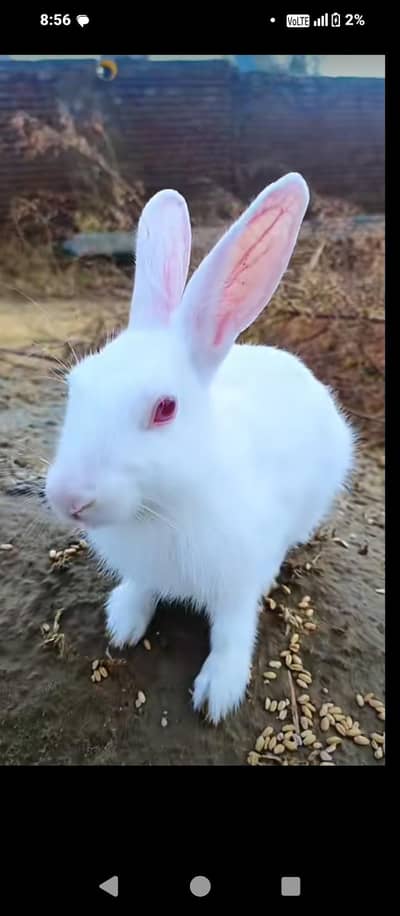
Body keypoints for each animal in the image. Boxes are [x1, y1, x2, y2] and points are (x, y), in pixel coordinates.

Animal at [45, 172, 354, 723]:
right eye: (77, 385)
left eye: (165, 408)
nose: (69, 498)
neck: (162, 506)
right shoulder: (146, 570)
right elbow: (142, 590)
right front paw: (122, 623)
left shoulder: (238, 582)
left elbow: (233, 631)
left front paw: (217, 693)